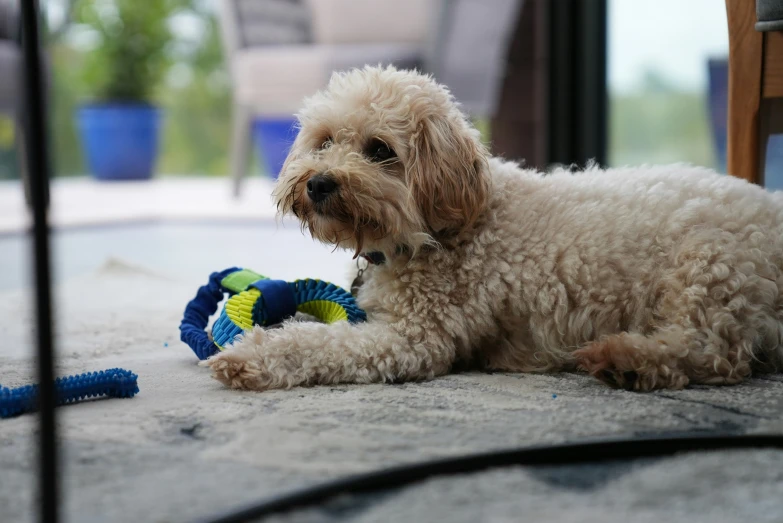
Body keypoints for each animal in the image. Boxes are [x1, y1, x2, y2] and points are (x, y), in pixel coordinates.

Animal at [205, 65, 783, 390]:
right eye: (324, 141)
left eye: (380, 150)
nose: (320, 183)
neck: (447, 230)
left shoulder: (416, 337)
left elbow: (317, 343)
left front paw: (250, 356)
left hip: (709, 267)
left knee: (716, 353)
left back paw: (626, 360)